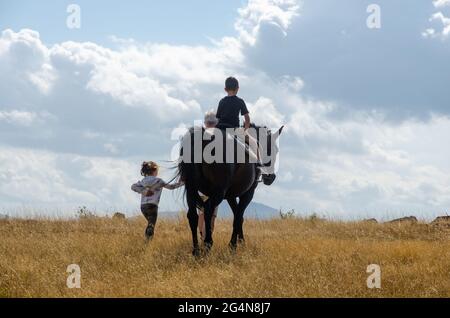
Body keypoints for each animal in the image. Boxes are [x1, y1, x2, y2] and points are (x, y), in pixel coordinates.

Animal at [178, 124, 284, 256]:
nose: (271, 178)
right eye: (275, 150)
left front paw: (241, 241)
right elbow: (238, 217)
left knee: (193, 215)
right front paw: (233, 245)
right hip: (218, 192)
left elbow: (238, 215)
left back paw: (196, 250)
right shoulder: (248, 193)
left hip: (191, 189)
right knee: (207, 210)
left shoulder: (230, 196)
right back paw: (208, 243)